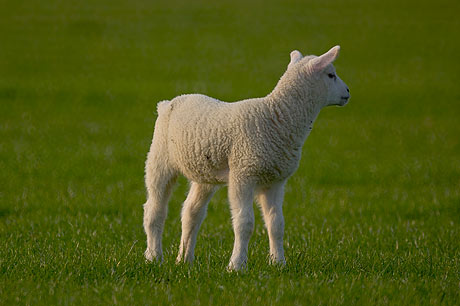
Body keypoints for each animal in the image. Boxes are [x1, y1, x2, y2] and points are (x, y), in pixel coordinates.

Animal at [142, 44, 350, 270]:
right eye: (331, 75)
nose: (348, 92)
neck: (278, 118)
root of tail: (168, 103)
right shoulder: (243, 173)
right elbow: (245, 223)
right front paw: (237, 265)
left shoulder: (275, 180)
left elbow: (276, 223)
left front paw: (279, 263)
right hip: (159, 158)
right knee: (154, 210)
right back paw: (154, 256)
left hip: (204, 173)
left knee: (191, 212)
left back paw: (184, 259)